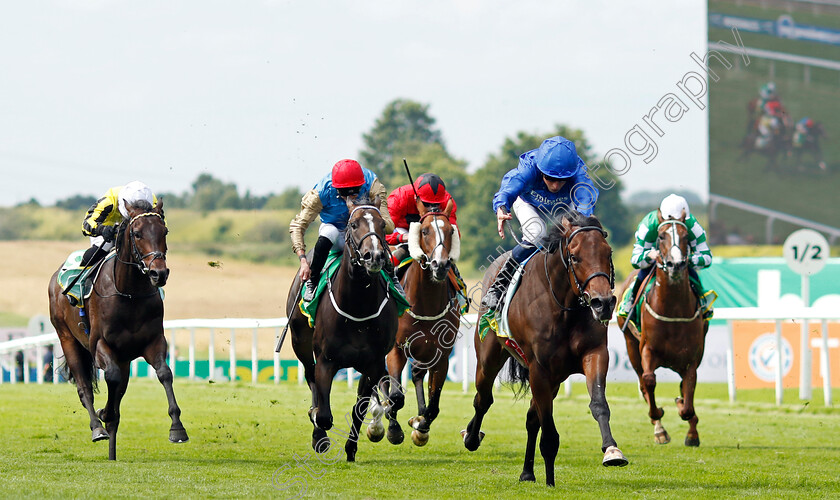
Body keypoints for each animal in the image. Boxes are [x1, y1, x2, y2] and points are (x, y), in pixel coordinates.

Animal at [48, 199, 189, 460]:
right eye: (137, 233)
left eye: (164, 231)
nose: (159, 273)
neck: (129, 293)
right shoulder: (100, 345)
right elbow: (109, 378)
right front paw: (104, 416)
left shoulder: (153, 341)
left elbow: (164, 373)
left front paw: (177, 428)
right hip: (67, 338)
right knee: (85, 389)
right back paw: (98, 428)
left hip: (123, 358)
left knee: (118, 388)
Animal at [286, 194, 400, 460]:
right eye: (354, 224)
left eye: (382, 225)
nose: (374, 256)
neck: (358, 307)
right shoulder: (326, 361)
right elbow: (324, 415)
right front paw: (319, 432)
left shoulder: (372, 363)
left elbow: (360, 407)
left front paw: (354, 446)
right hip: (301, 344)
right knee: (309, 375)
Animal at [378, 198, 462, 446]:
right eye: (424, 231)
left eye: (450, 230)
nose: (439, 265)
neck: (425, 303)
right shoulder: (396, 348)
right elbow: (396, 396)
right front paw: (393, 428)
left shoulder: (441, 354)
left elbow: (434, 405)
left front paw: (421, 425)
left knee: (416, 374)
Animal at [462, 213, 628, 486]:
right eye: (575, 256)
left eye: (608, 252)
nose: (602, 303)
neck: (564, 306)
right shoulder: (539, 369)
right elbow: (548, 431)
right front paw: (550, 481)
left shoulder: (594, 354)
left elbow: (598, 403)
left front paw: (612, 451)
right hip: (489, 358)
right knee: (483, 398)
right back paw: (471, 437)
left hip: (555, 379)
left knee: (531, 418)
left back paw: (527, 472)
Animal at [612, 213, 704, 448]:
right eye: (661, 236)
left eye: (685, 236)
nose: (675, 264)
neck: (673, 309)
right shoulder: (647, 349)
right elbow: (649, 381)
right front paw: (659, 420)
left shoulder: (691, 358)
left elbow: (688, 395)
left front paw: (689, 426)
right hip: (631, 346)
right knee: (644, 384)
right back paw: (659, 428)